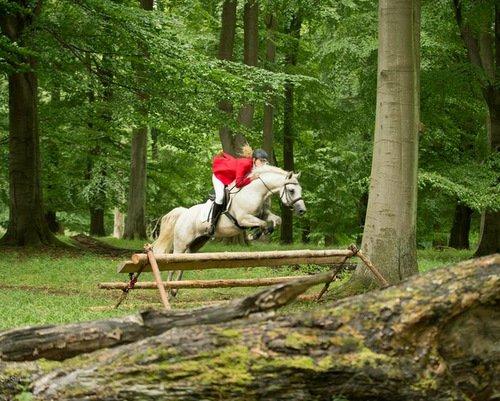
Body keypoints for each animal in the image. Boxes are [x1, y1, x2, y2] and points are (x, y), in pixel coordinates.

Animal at [152, 164, 306, 286]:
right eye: (291, 190)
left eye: (300, 190)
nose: (302, 211)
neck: (255, 192)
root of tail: (183, 213)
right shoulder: (243, 219)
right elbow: (261, 223)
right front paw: (254, 234)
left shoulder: (262, 214)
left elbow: (277, 220)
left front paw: (267, 230)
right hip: (181, 243)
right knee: (173, 264)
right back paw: (168, 289)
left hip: (196, 244)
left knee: (183, 264)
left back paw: (174, 290)